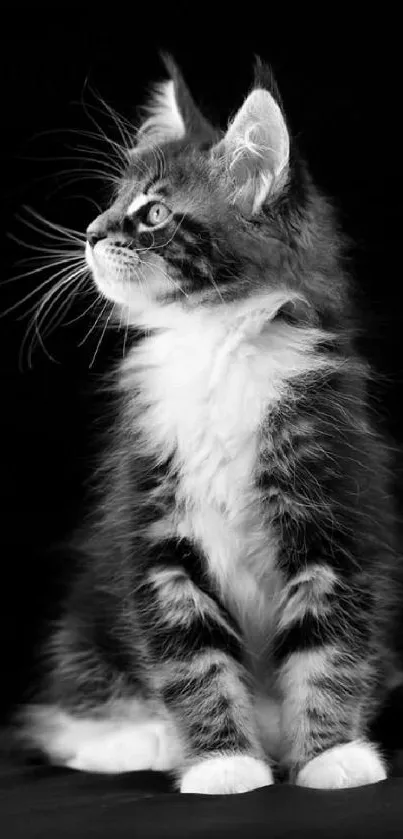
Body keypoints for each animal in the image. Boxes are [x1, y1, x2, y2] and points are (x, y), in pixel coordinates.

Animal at [19, 57, 403, 796]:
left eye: (154, 213)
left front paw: (330, 754)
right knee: (65, 716)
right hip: (86, 626)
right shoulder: (154, 529)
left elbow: (330, 648)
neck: (216, 346)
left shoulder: (335, 509)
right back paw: (139, 740)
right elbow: (191, 659)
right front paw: (223, 761)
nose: (90, 233)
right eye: (113, 201)